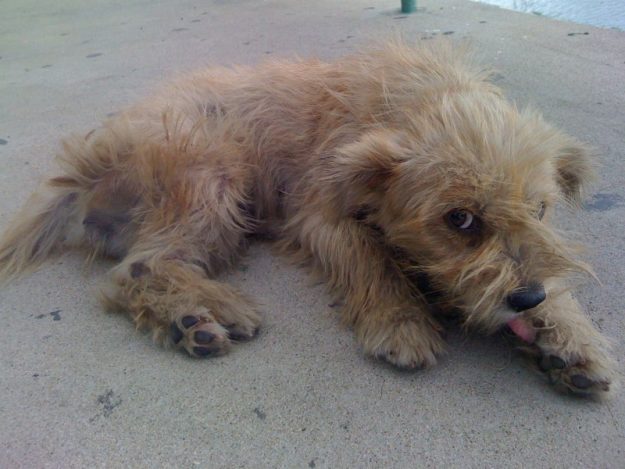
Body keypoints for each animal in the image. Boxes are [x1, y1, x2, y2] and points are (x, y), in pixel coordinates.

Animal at [0, 40, 614, 397]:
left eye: (541, 209)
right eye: (459, 219)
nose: (526, 300)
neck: (415, 98)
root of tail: (87, 161)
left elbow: (556, 276)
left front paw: (571, 336)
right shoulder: (320, 215)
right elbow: (371, 258)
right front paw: (399, 321)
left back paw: (190, 319)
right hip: (215, 176)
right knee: (135, 270)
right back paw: (205, 312)